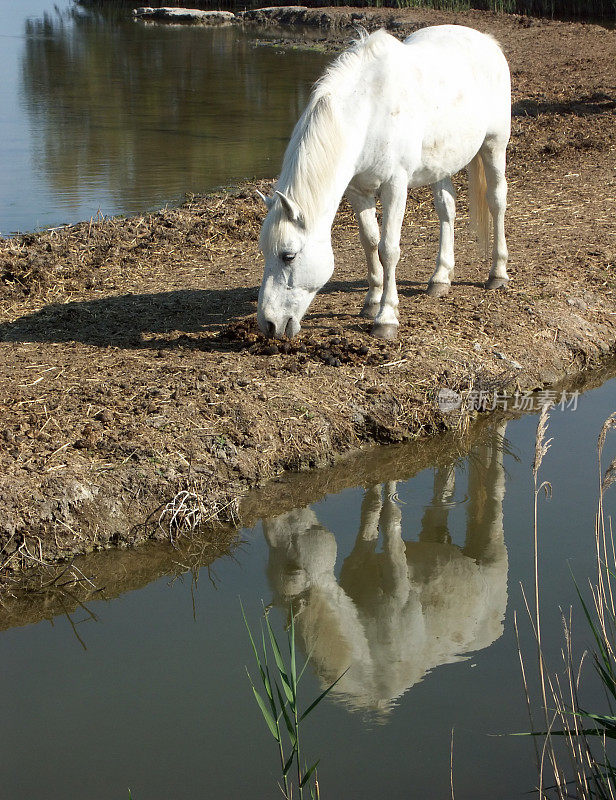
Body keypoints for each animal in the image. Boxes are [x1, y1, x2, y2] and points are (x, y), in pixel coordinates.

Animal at [255, 26, 510, 340]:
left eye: (288, 256)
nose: (269, 324)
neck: (367, 111)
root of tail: (487, 41)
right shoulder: (358, 191)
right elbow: (370, 242)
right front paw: (372, 301)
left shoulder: (395, 186)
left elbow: (388, 249)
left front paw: (386, 317)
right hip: (441, 165)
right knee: (446, 210)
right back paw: (441, 278)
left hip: (494, 145)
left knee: (497, 201)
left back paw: (498, 273)